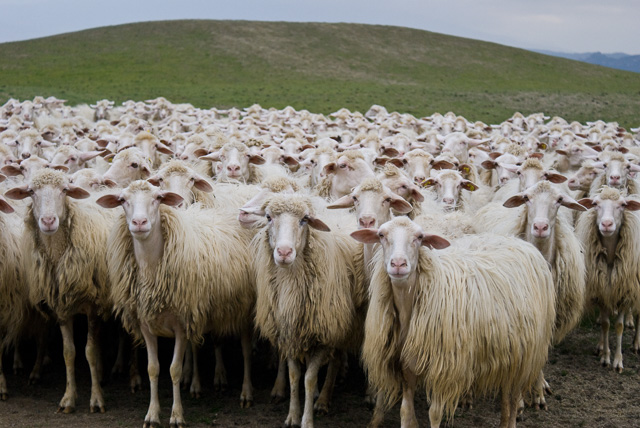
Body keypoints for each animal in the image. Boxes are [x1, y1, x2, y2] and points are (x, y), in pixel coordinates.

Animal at [4, 169, 115, 414]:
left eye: (65, 190)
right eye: (31, 191)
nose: (48, 221)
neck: (58, 254)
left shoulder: (93, 306)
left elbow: (89, 351)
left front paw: (96, 399)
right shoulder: (62, 307)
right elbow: (68, 352)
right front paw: (68, 399)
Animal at [97, 180, 256, 427]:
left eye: (158, 198)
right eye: (122, 200)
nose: (139, 223)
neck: (151, 269)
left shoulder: (181, 326)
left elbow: (174, 370)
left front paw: (176, 415)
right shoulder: (146, 325)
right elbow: (153, 369)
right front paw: (152, 415)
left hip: (245, 309)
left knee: (247, 351)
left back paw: (246, 393)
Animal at [247, 194, 366, 428]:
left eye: (304, 219)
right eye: (268, 217)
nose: (284, 252)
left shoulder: (323, 335)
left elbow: (309, 379)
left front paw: (307, 420)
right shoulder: (290, 334)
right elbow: (294, 376)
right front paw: (292, 416)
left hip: (340, 323)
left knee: (336, 361)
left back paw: (324, 400)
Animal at [351, 216, 555, 428]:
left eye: (420, 237)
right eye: (381, 235)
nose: (398, 264)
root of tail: (520, 242)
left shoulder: (443, 370)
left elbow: (434, 414)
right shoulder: (406, 367)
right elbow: (405, 412)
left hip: (527, 353)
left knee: (513, 397)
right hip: (509, 352)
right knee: (506, 395)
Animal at [576, 186, 640, 372]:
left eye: (623, 205)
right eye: (595, 204)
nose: (606, 224)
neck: (611, 257)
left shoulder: (625, 292)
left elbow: (619, 326)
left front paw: (618, 361)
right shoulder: (602, 291)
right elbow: (605, 324)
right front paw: (605, 357)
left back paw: (636, 344)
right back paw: (600, 346)